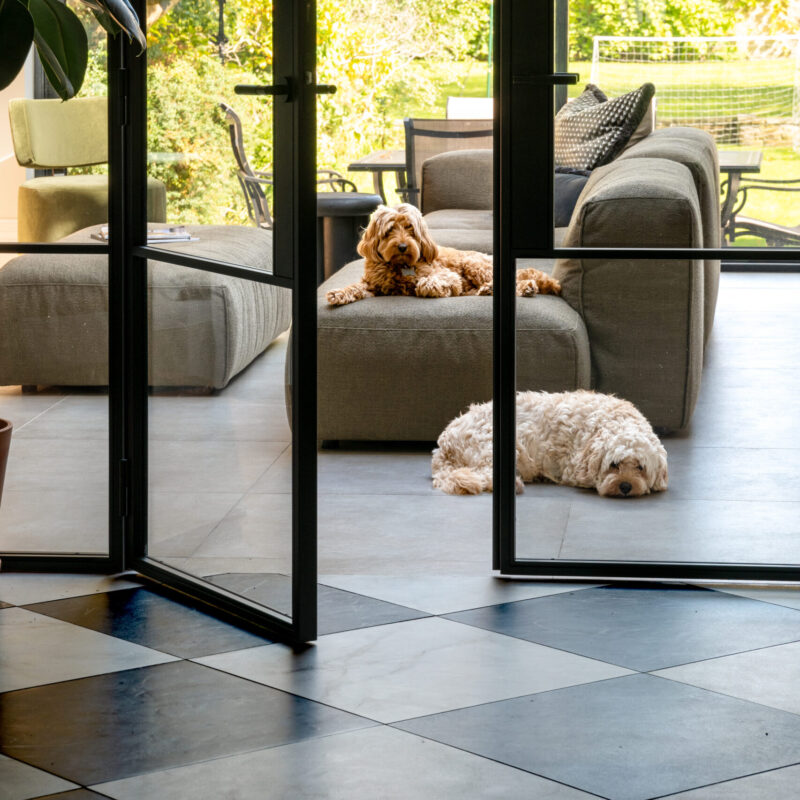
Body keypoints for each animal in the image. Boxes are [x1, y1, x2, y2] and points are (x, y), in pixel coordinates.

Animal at [322, 203, 560, 306]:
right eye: (390, 229)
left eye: (410, 228)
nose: (402, 246)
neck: (399, 265)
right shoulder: (373, 285)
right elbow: (356, 287)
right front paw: (339, 293)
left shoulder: (450, 276)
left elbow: (426, 282)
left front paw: (430, 288)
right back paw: (489, 290)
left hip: (474, 265)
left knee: (517, 280)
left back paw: (525, 287)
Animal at [432, 390, 668, 496]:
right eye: (614, 465)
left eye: (640, 467)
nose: (625, 486)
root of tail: (444, 444)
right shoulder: (574, 468)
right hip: (492, 446)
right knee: (484, 475)